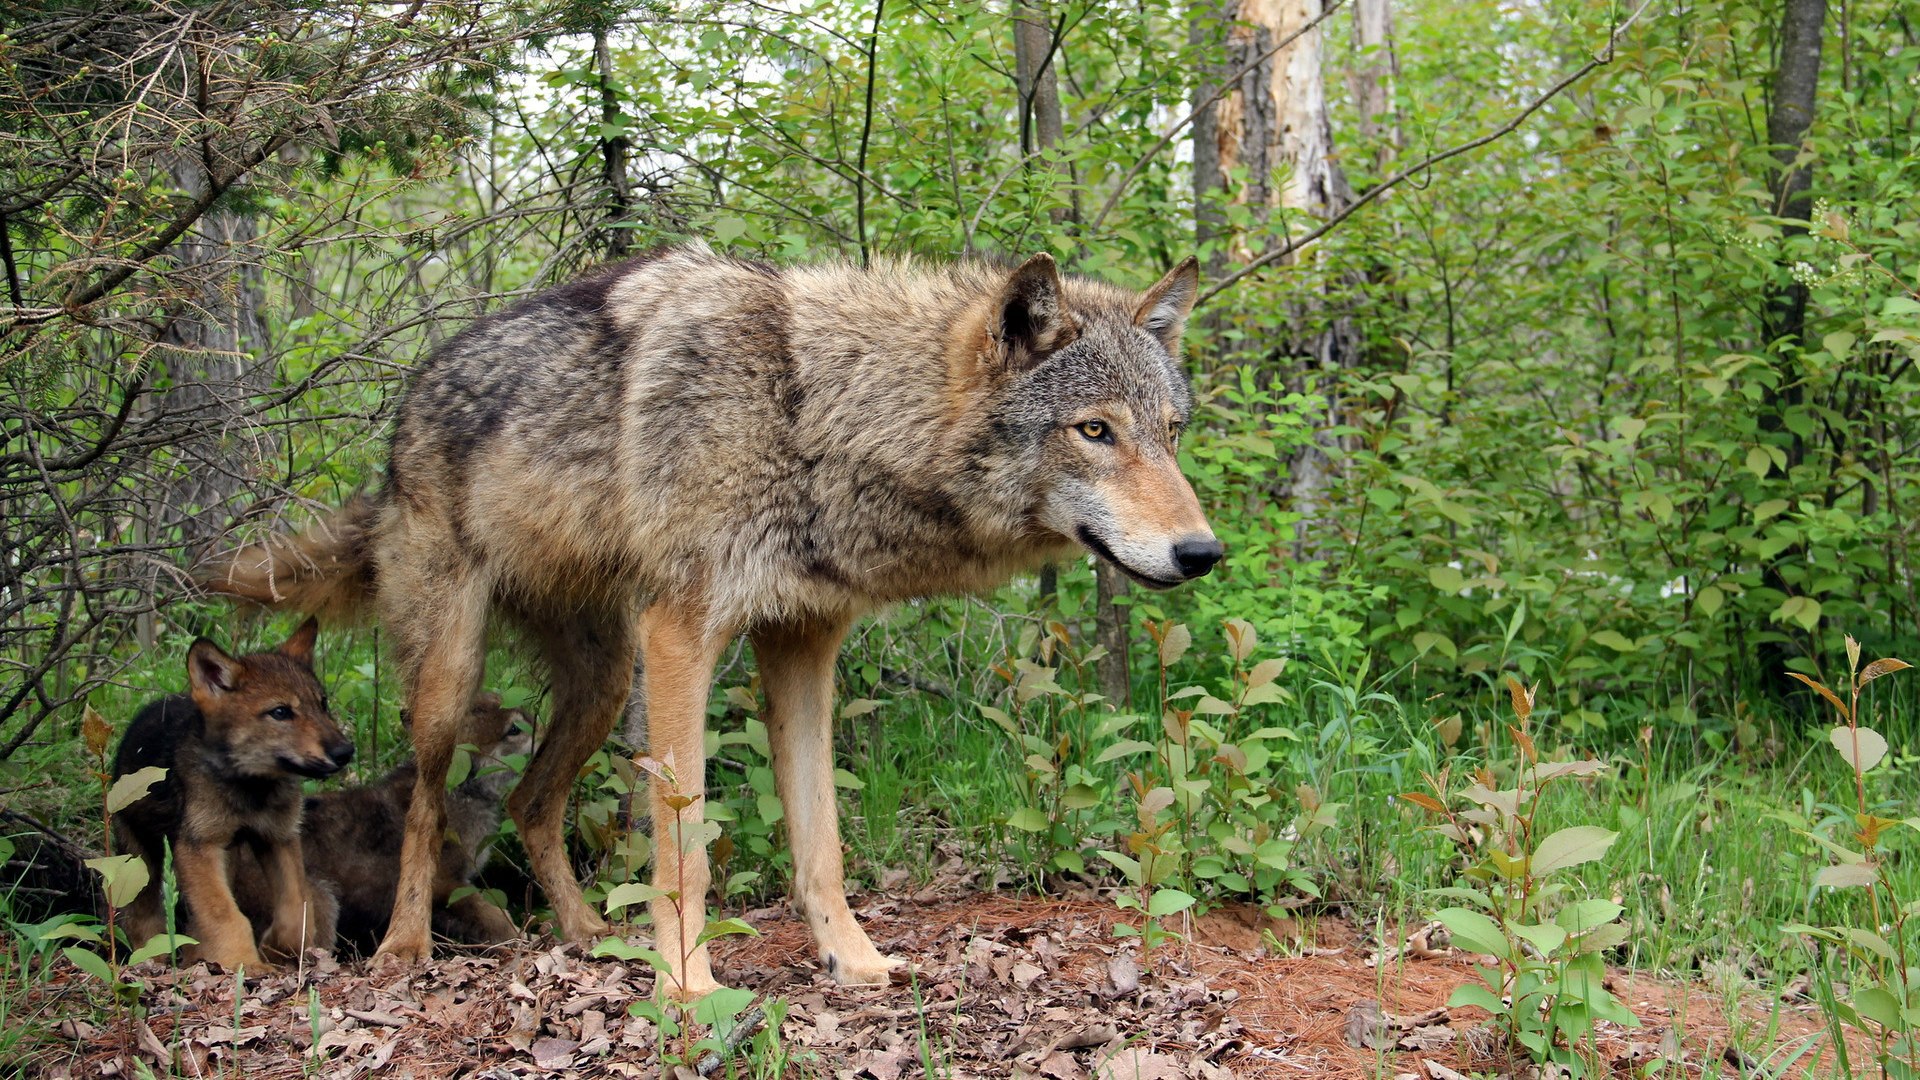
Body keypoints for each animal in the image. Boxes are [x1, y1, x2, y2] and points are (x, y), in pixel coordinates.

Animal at [111, 614, 353, 968]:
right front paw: (244, 964)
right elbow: (225, 915)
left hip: (229, 855)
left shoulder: (277, 837)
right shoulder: (199, 845)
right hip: (141, 858)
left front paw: (275, 948)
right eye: (280, 712)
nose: (345, 751)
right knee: (141, 916)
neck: (251, 790)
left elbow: (297, 909)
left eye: (322, 704)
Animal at [231, 687, 533, 949]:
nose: (540, 727)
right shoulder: (445, 884)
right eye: (514, 730)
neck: (461, 790)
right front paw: (521, 939)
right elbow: (493, 915)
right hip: (320, 901)